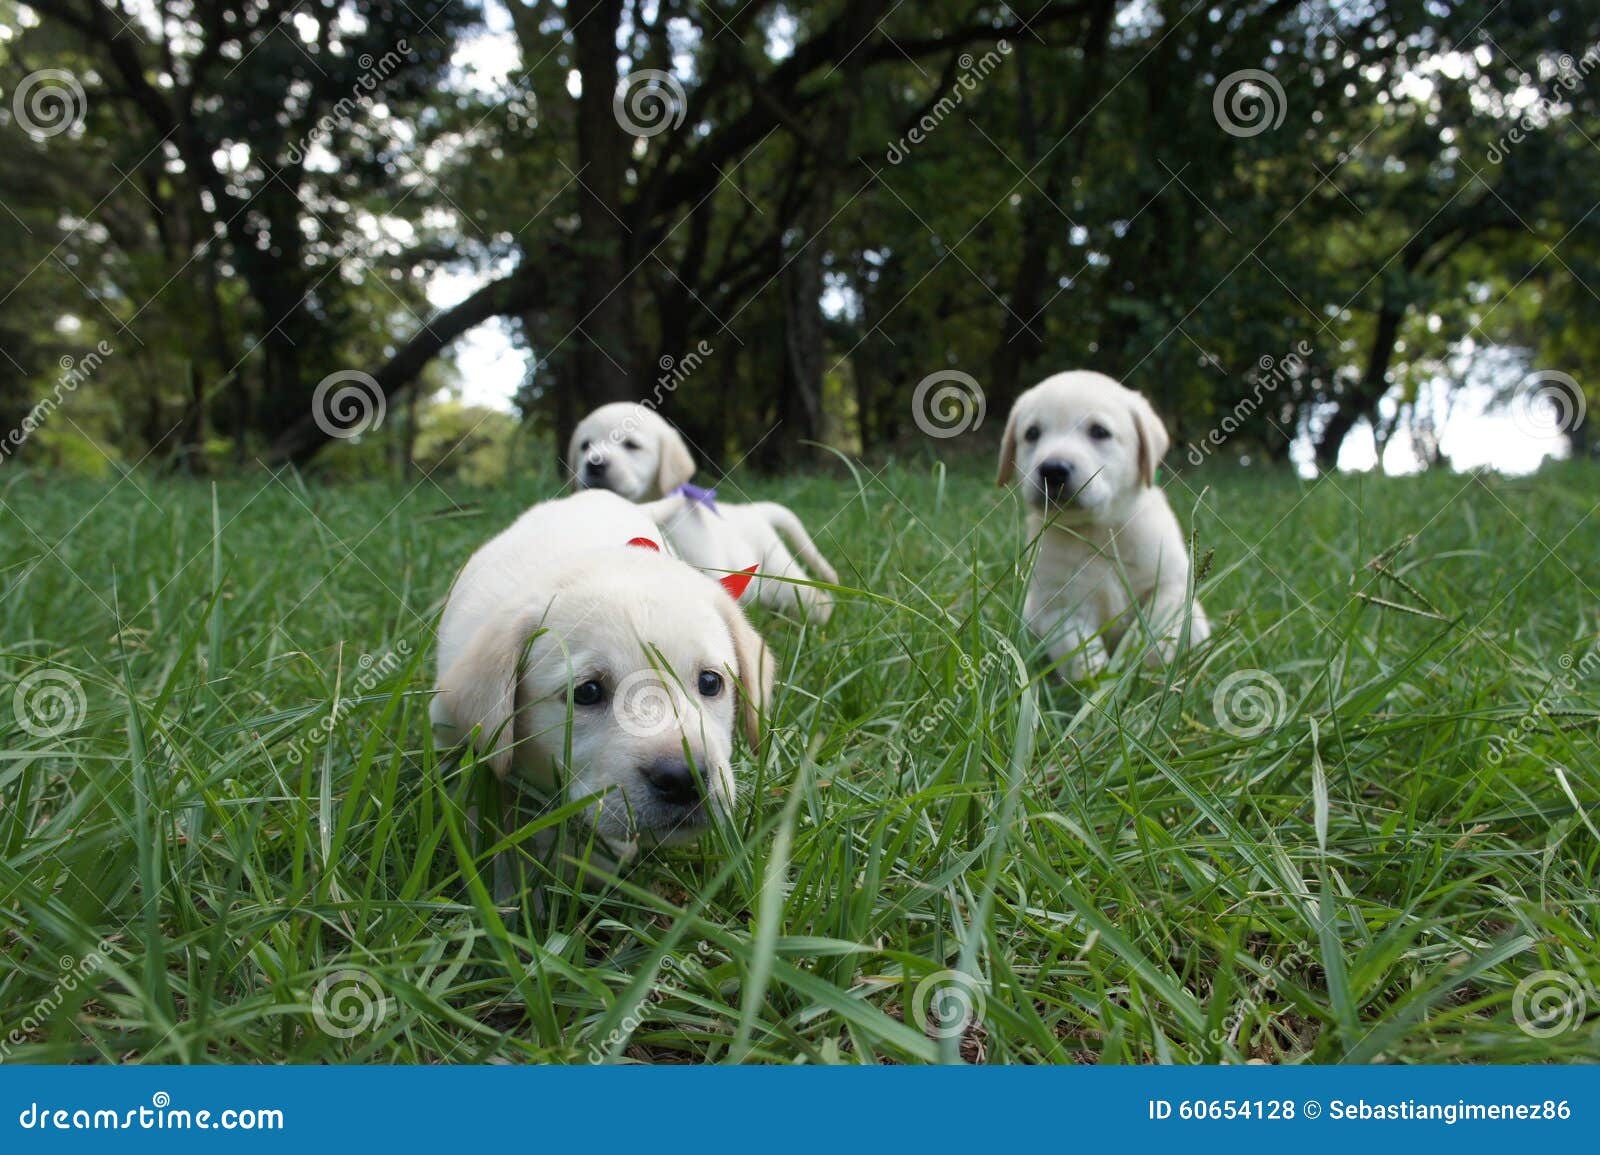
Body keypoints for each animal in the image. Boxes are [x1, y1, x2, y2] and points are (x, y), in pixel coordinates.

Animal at [566, 399, 838, 623]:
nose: (595, 463)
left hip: (779, 573)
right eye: (585, 445)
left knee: (817, 599)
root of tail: (752, 510)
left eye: (631, 445)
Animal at [992, 369, 1203, 678]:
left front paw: (1149, 672)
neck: (1099, 530)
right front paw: (1103, 683)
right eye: (1032, 434)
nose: (1053, 470)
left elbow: (1158, 629)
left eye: (1099, 431)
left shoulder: (1171, 584)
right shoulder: (1060, 608)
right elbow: (1082, 653)